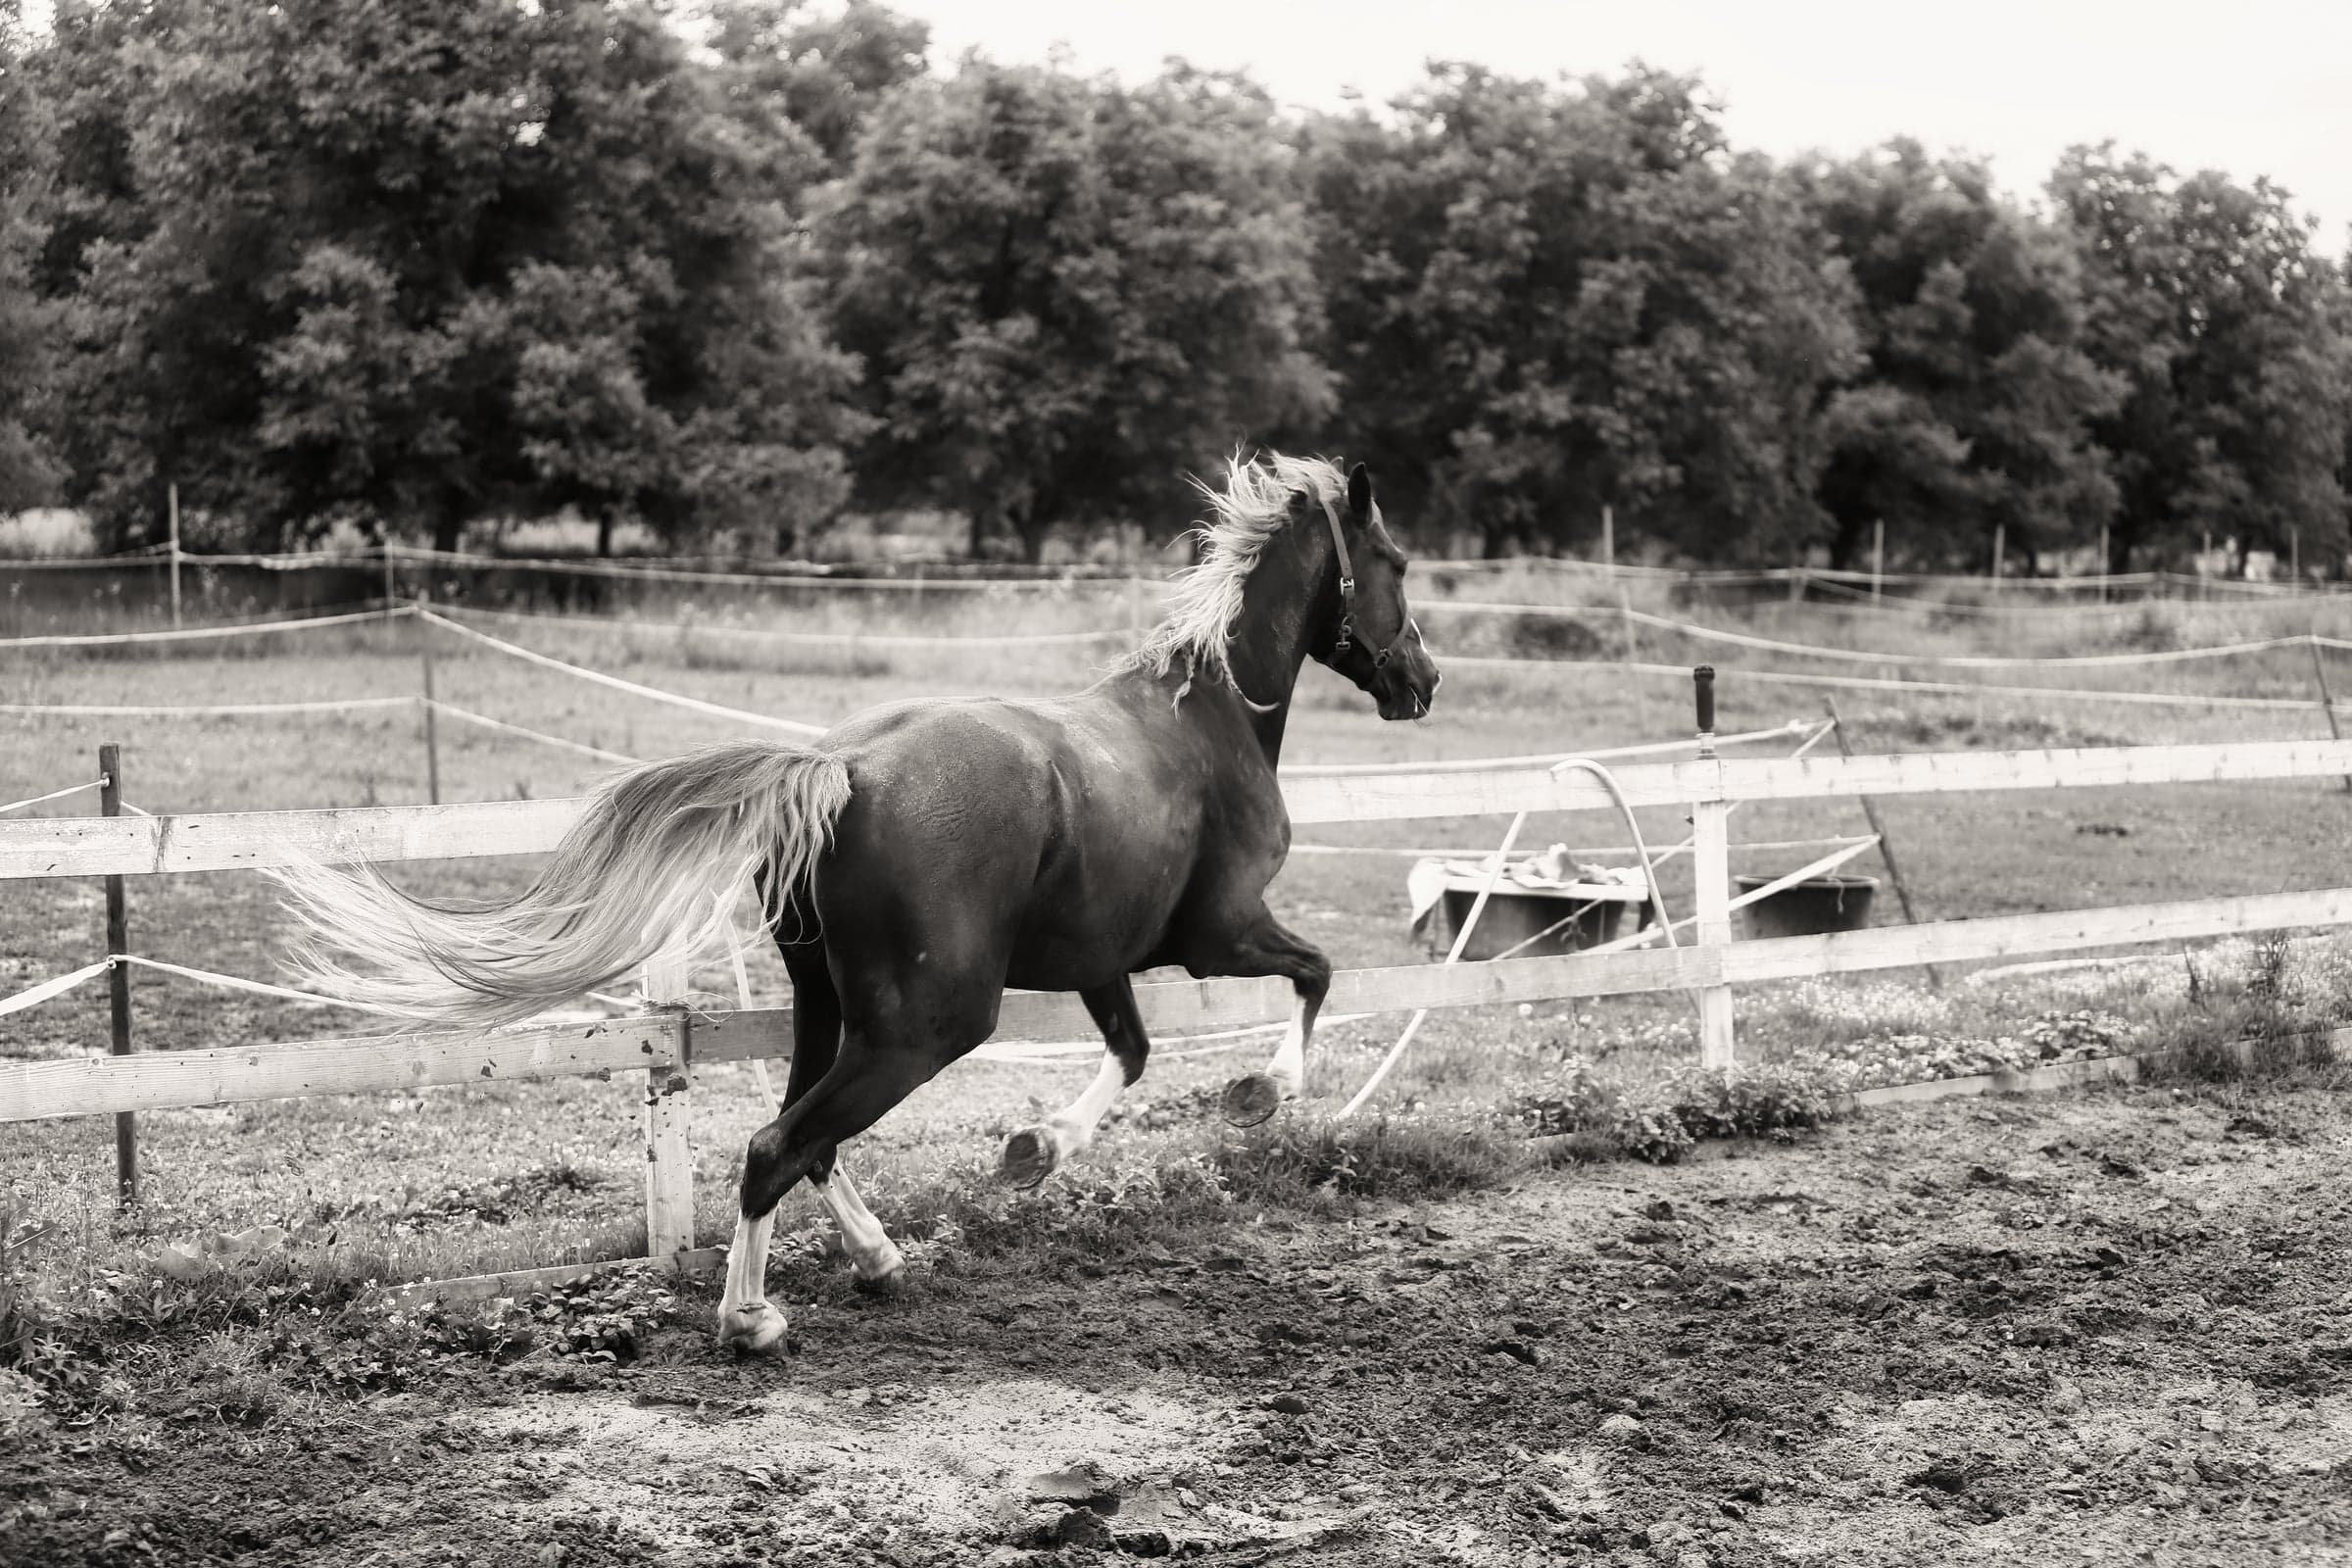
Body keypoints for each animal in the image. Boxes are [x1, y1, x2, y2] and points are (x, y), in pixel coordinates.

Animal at [272, 452, 1441, 1352]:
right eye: (1394, 563)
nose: (1420, 682)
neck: (1209, 719)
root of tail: (842, 771)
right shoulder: (1220, 931)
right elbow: (1316, 974)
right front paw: (1257, 1093)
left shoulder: (1104, 960)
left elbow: (1134, 1050)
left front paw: (1037, 1148)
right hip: (930, 1022)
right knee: (775, 1146)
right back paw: (751, 1321)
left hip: (826, 1001)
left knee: (804, 1139)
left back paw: (876, 1259)